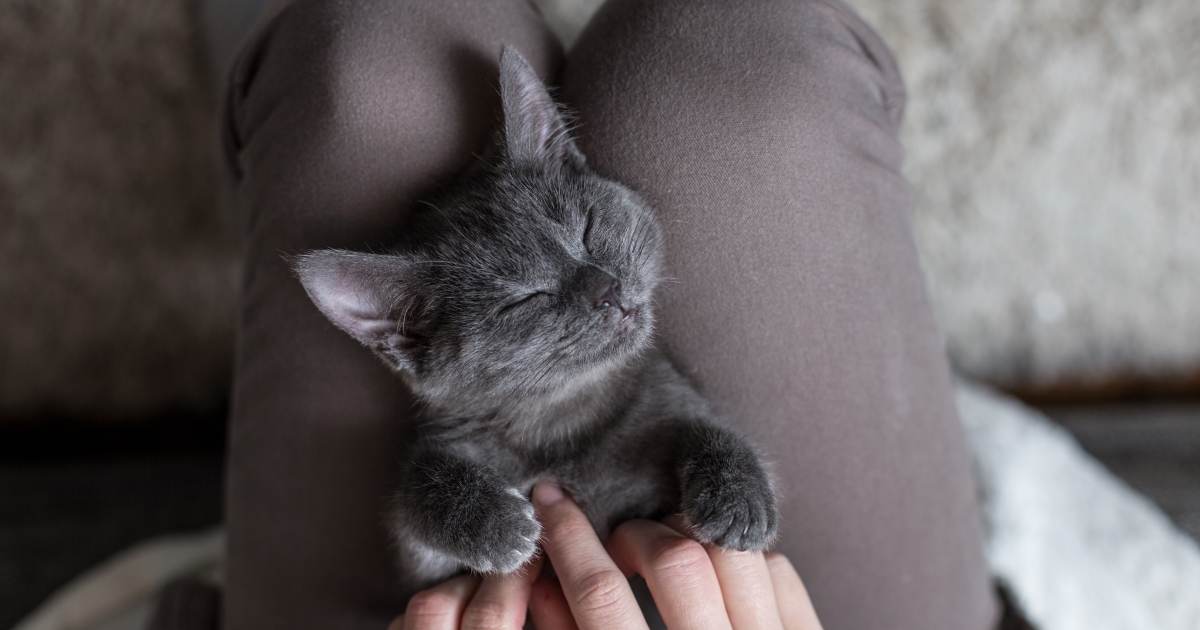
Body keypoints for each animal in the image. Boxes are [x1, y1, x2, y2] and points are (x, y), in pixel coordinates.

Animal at [290, 48, 777, 585]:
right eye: (526, 299)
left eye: (588, 229)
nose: (606, 289)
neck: (564, 424)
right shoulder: (425, 559)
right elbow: (413, 490)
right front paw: (493, 523)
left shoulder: (668, 393)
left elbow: (711, 426)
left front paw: (739, 497)